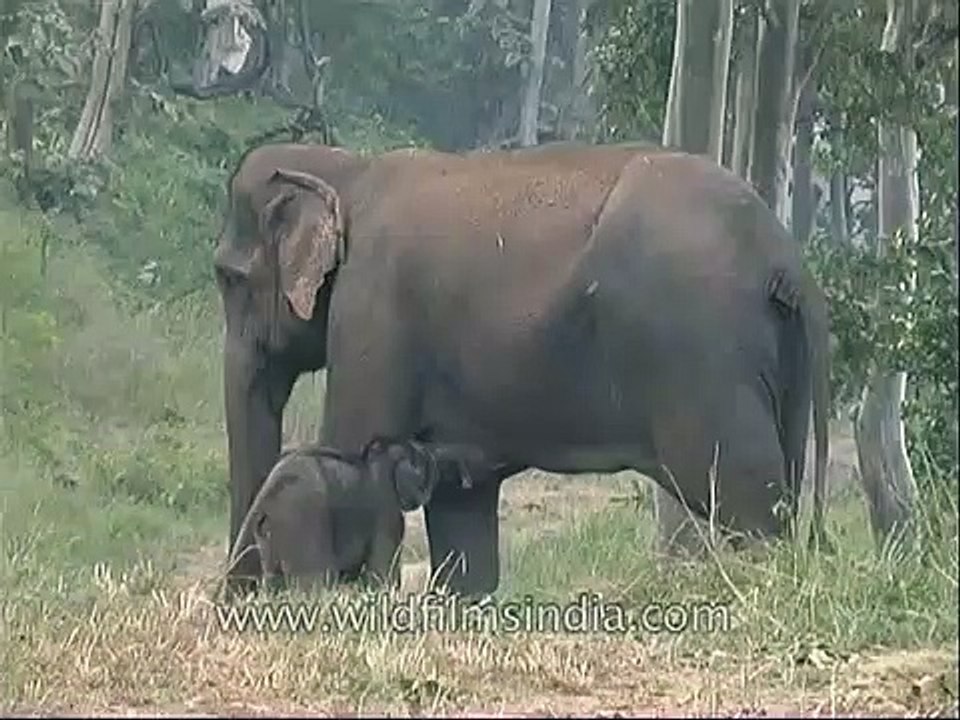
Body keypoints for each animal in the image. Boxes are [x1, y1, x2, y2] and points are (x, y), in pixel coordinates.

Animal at [227, 436, 507, 592]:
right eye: (423, 462)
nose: (467, 479)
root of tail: (266, 502)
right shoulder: (386, 512)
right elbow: (381, 571)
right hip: (301, 521)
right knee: (315, 583)